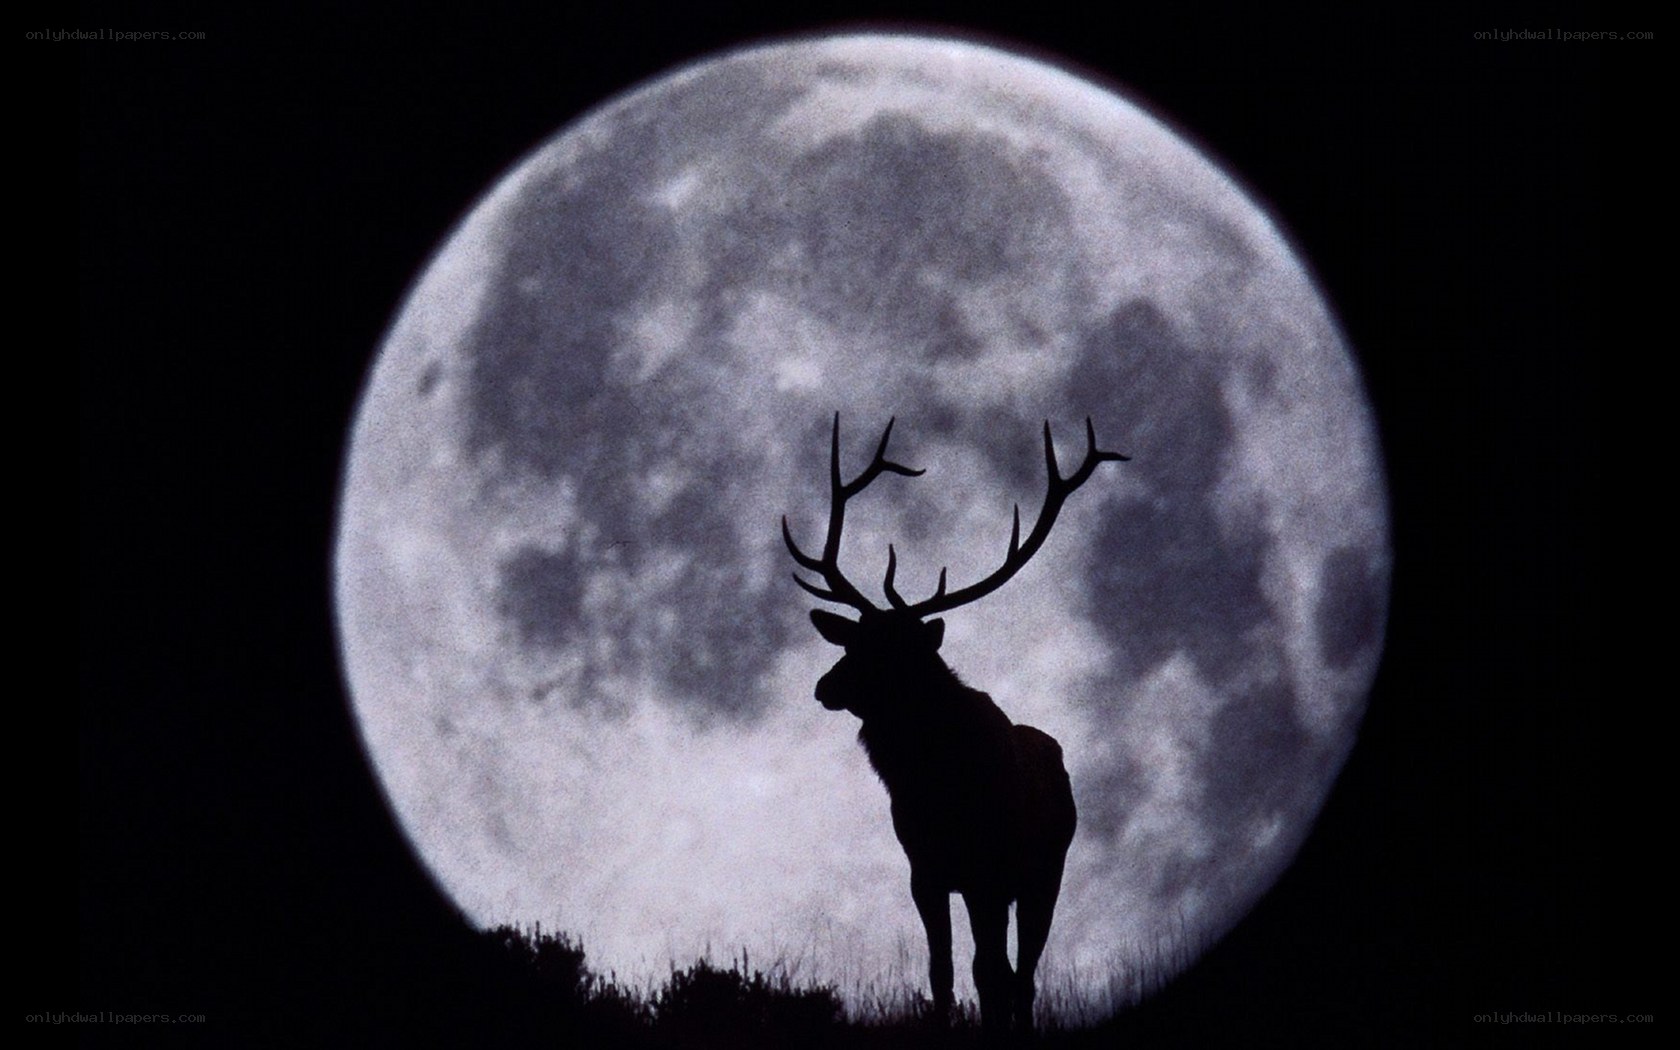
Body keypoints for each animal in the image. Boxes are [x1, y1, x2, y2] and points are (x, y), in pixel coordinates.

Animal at [782, 414, 1126, 1036]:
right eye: (853, 641)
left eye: (894, 652)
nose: (825, 687)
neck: (937, 785)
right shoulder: (926, 869)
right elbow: (941, 971)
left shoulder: (990, 870)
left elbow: (989, 973)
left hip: (1044, 874)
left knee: (1021, 973)